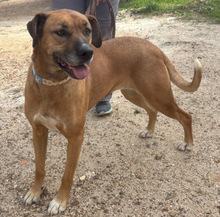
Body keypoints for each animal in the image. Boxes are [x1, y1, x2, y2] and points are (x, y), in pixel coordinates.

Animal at [23, 9, 201, 214]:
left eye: (87, 31)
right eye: (61, 32)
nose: (88, 52)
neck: (51, 84)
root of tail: (154, 47)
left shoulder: (75, 138)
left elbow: (67, 175)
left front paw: (60, 201)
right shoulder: (38, 131)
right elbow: (39, 167)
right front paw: (35, 191)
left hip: (159, 96)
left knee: (185, 115)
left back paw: (187, 143)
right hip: (133, 93)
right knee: (152, 110)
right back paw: (149, 131)